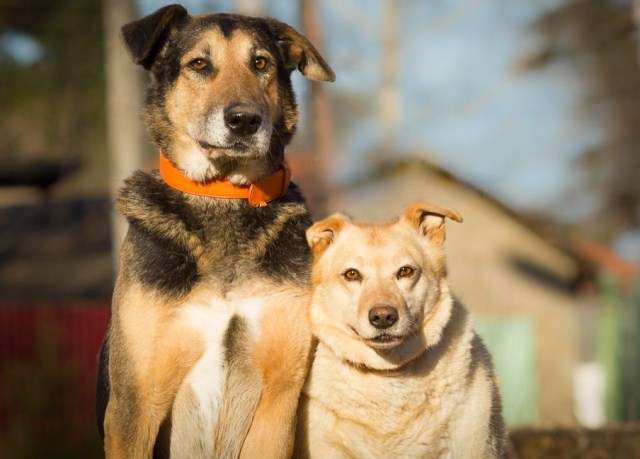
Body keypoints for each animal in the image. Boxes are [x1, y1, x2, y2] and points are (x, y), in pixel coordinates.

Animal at [96, 4, 336, 459]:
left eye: (260, 63)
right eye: (199, 65)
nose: (244, 120)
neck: (223, 194)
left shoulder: (278, 398)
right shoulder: (134, 403)